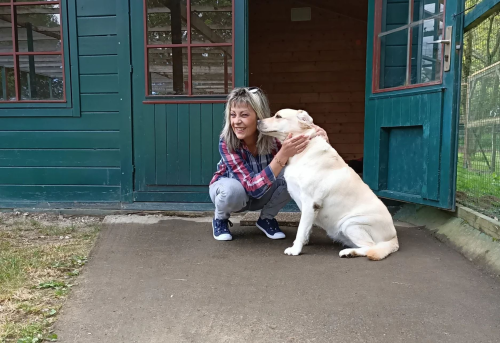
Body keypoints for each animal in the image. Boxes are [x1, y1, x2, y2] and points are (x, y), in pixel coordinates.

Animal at [258, 109, 398, 260]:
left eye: (278, 116)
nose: (258, 121)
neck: (304, 149)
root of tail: (393, 239)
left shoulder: (310, 203)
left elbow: (301, 229)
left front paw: (295, 249)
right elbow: (306, 227)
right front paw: (303, 242)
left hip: (351, 223)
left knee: (371, 246)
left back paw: (348, 252)